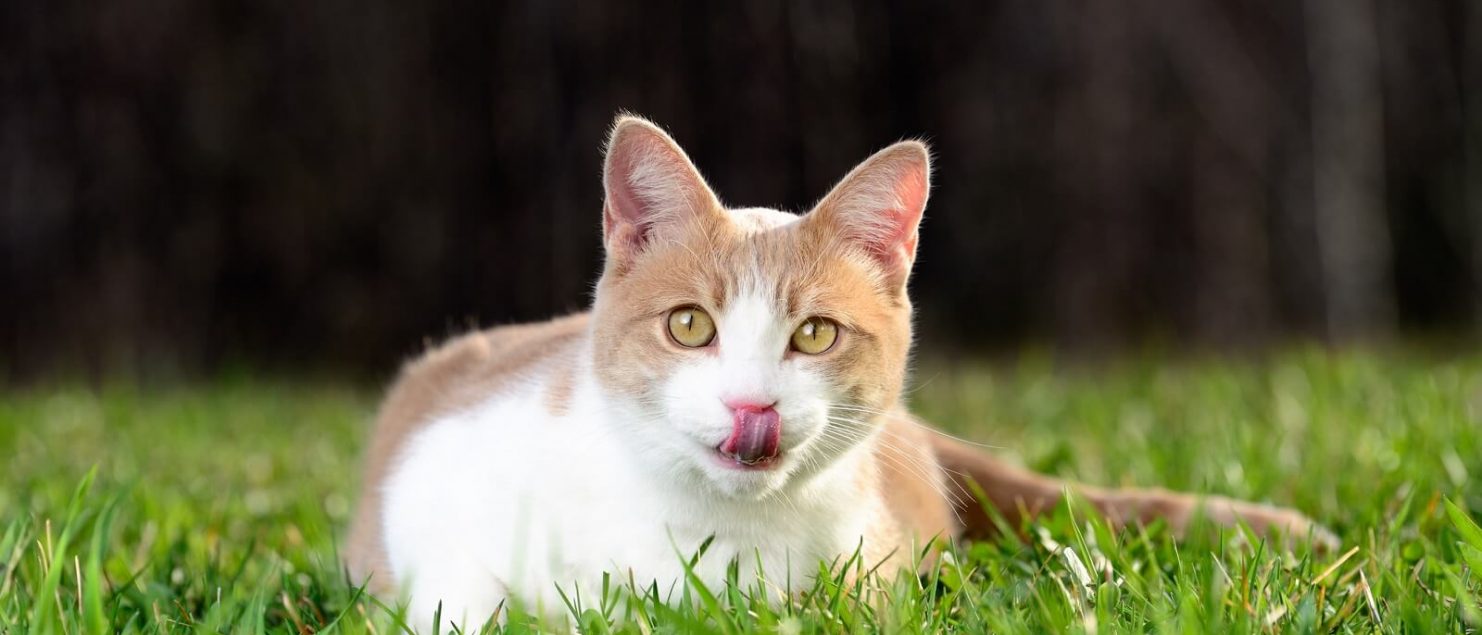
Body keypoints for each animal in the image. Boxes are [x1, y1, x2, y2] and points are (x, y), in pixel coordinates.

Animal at [343, 114, 1333, 629]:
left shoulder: (870, 562)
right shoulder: (439, 469)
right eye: (690, 325)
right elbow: (454, 586)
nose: (753, 405)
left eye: (815, 334)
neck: (707, 535)